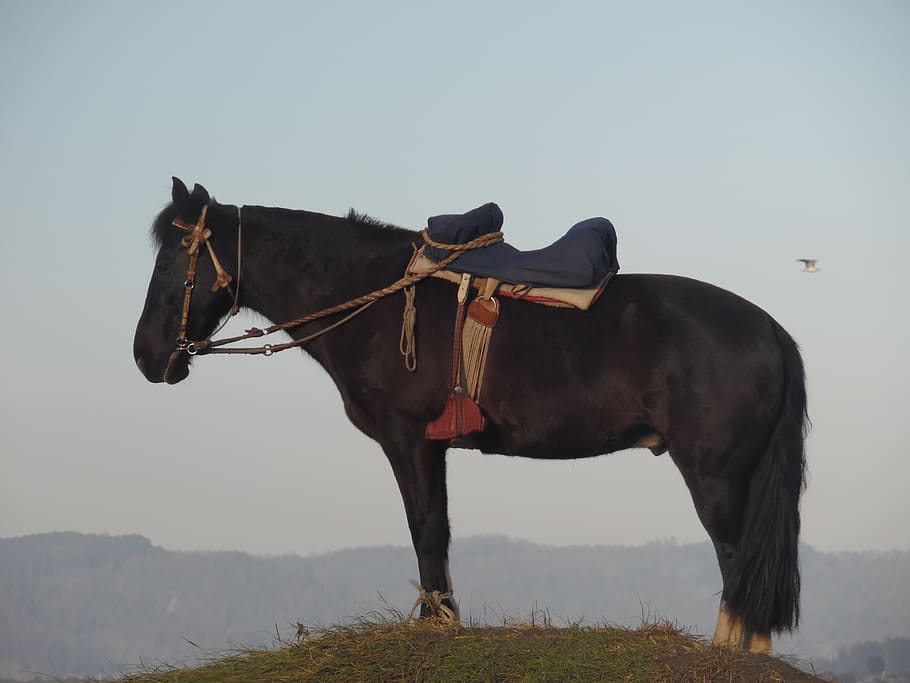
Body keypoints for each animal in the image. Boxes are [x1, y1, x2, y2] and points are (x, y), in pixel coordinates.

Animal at [134, 178, 808, 654]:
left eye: (174, 259)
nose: (146, 355)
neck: (373, 298)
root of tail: (772, 329)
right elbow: (435, 530)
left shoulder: (409, 441)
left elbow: (426, 528)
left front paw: (437, 624)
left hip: (716, 475)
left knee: (736, 555)